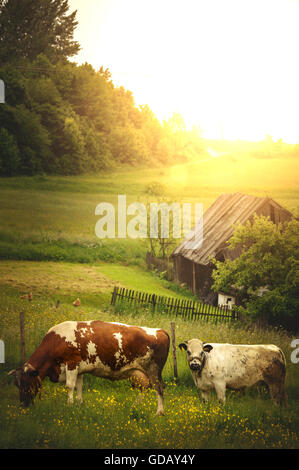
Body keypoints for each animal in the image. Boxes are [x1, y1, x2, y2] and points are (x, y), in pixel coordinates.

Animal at [8, 320, 170, 414]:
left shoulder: (71, 363)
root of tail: (160, 330)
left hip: (154, 370)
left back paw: (159, 412)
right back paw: (134, 407)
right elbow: (78, 386)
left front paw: (69, 405)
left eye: (26, 382)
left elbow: (69, 386)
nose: (22, 405)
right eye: (16, 384)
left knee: (159, 388)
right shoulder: (79, 369)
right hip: (140, 373)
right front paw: (79, 404)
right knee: (145, 388)